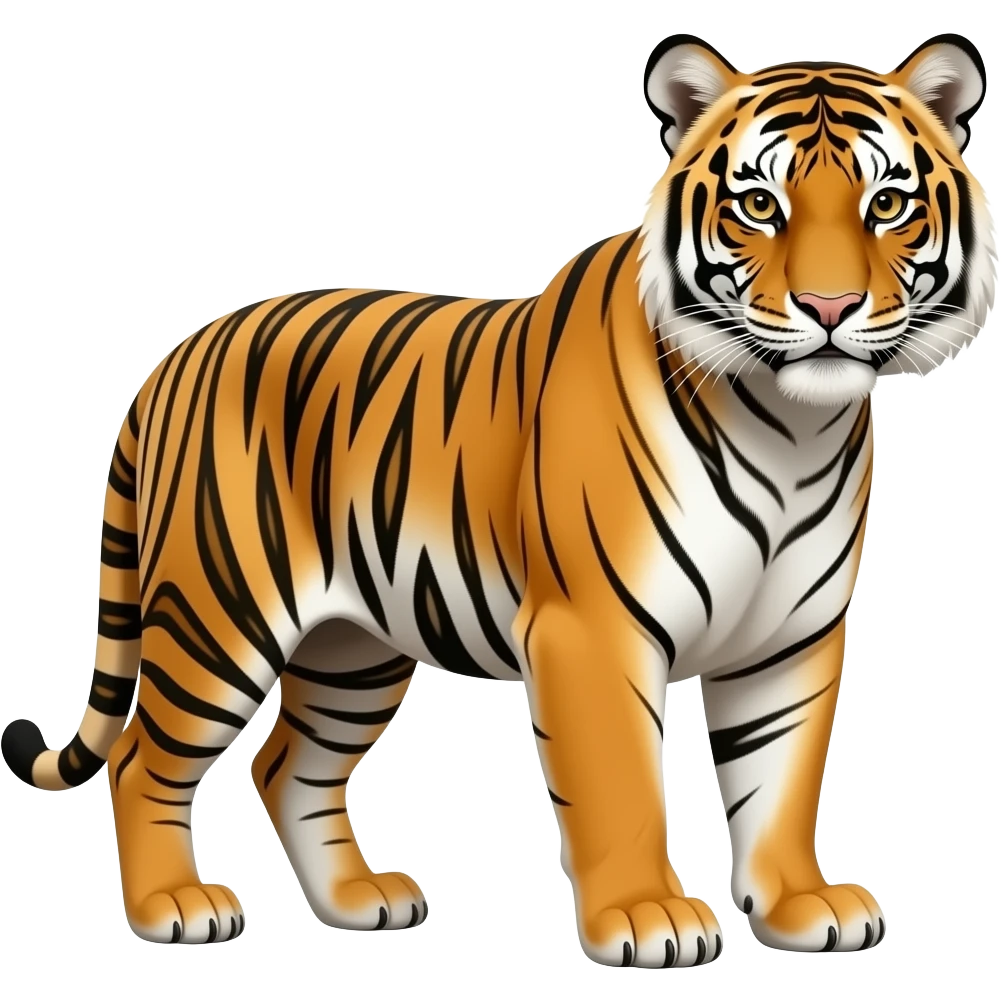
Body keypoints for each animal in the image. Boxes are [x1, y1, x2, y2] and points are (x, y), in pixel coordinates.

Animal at [1, 31, 996, 967]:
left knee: (289, 766)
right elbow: (624, 785)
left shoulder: (790, 636)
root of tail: (176, 356)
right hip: (218, 612)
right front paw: (648, 917)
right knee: (143, 759)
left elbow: (780, 778)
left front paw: (799, 905)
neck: (792, 428)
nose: (829, 307)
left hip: (353, 647)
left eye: (887, 205)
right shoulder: (594, 629)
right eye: (759, 205)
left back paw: (358, 901)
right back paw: (173, 907)